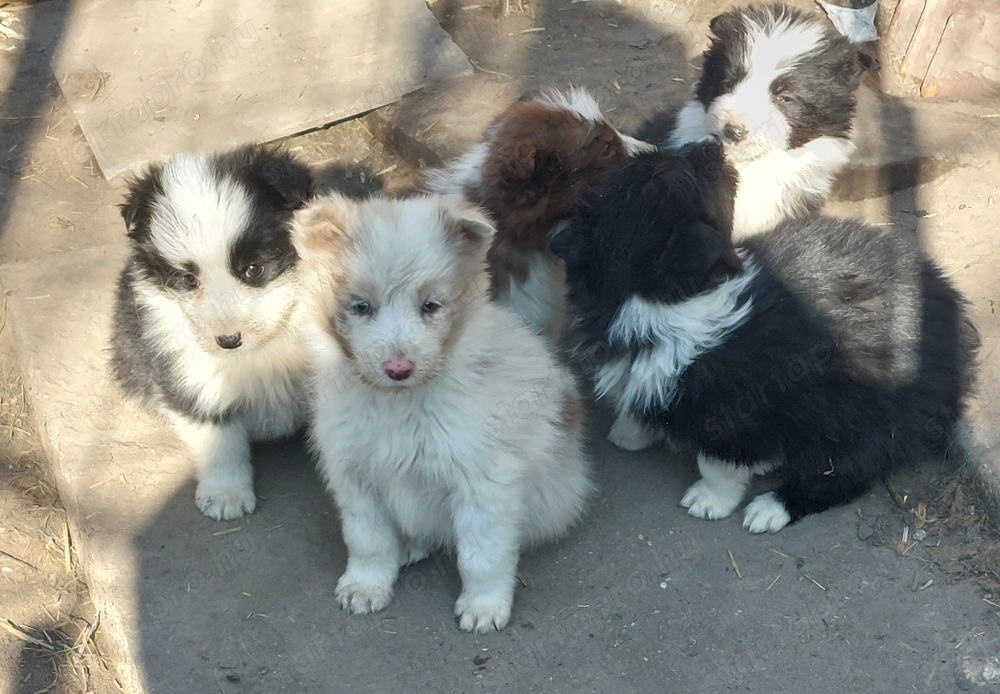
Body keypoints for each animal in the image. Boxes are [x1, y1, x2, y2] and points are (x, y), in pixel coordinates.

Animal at [110, 145, 314, 520]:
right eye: (188, 280)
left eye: (254, 269)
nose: (228, 341)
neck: (261, 350)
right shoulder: (192, 376)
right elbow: (219, 440)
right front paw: (225, 495)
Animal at [294, 192, 592, 636]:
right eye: (361, 306)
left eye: (430, 306)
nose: (399, 369)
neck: (401, 403)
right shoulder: (355, 475)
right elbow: (367, 540)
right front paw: (366, 585)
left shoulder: (485, 482)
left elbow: (481, 555)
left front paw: (484, 605)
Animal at [548, 147, 976, 536]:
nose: (715, 145)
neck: (648, 297)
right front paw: (633, 432)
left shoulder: (738, 409)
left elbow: (716, 461)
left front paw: (710, 500)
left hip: (863, 418)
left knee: (849, 469)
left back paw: (772, 507)